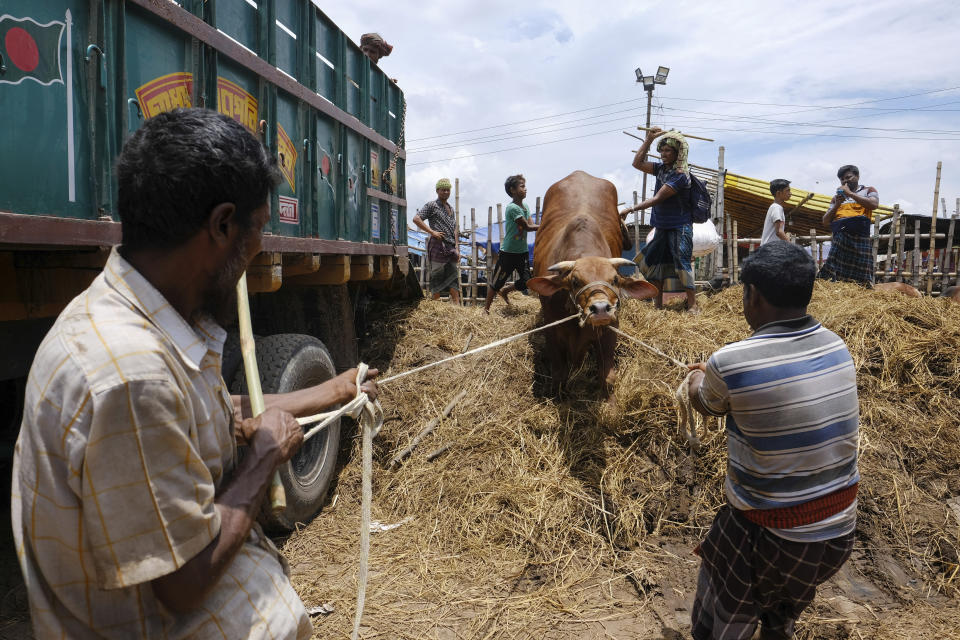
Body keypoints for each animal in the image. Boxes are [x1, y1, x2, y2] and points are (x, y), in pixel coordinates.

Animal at [528, 172, 656, 398]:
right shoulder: (552, 329)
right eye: (575, 281)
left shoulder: (611, 327)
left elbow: (607, 376)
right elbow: (559, 375)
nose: (601, 309)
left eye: (614, 280)